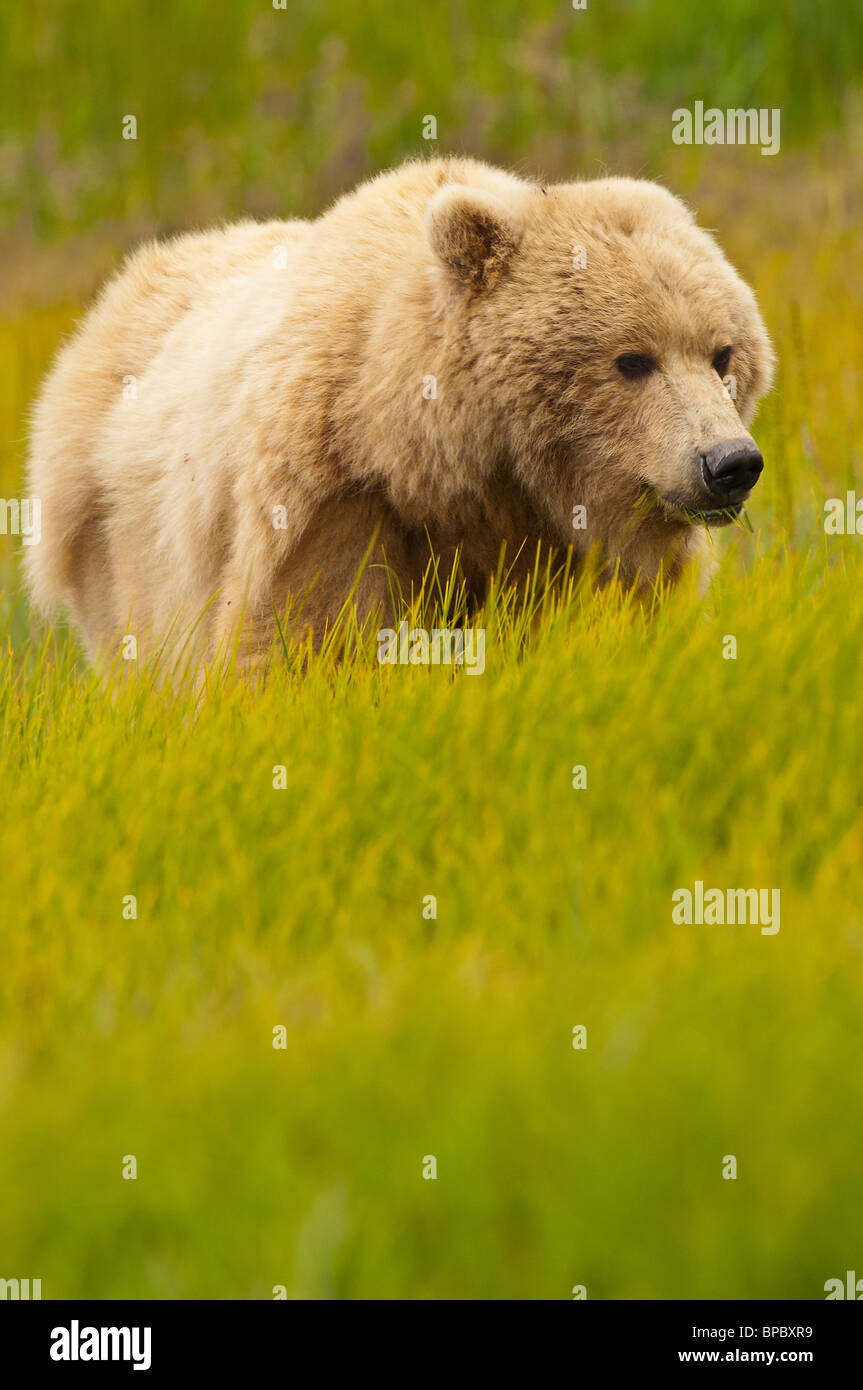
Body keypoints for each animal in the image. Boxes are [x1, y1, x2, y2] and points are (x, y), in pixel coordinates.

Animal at [25, 154, 772, 664]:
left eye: (722, 354)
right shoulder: (332, 501)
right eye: (631, 360)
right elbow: (303, 640)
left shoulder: (571, 549)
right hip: (122, 547)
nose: (728, 463)